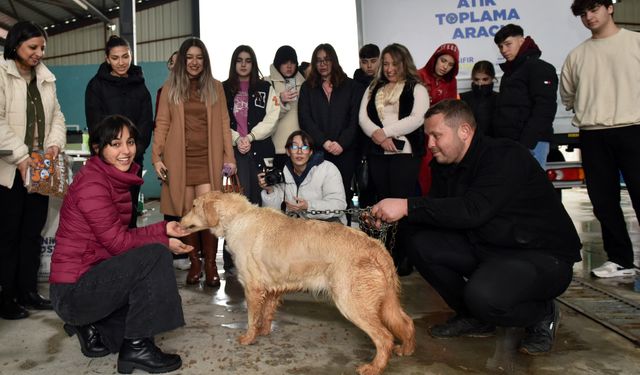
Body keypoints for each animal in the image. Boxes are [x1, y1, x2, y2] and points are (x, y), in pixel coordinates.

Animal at [180, 192, 416, 374]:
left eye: (193, 206)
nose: (179, 221)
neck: (238, 217)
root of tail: (377, 246)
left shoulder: (253, 287)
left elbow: (251, 318)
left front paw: (248, 337)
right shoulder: (272, 287)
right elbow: (266, 313)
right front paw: (264, 331)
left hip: (351, 302)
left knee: (385, 337)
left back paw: (374, 367)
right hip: (386, 302)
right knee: (406, 323)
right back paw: (406, 349)